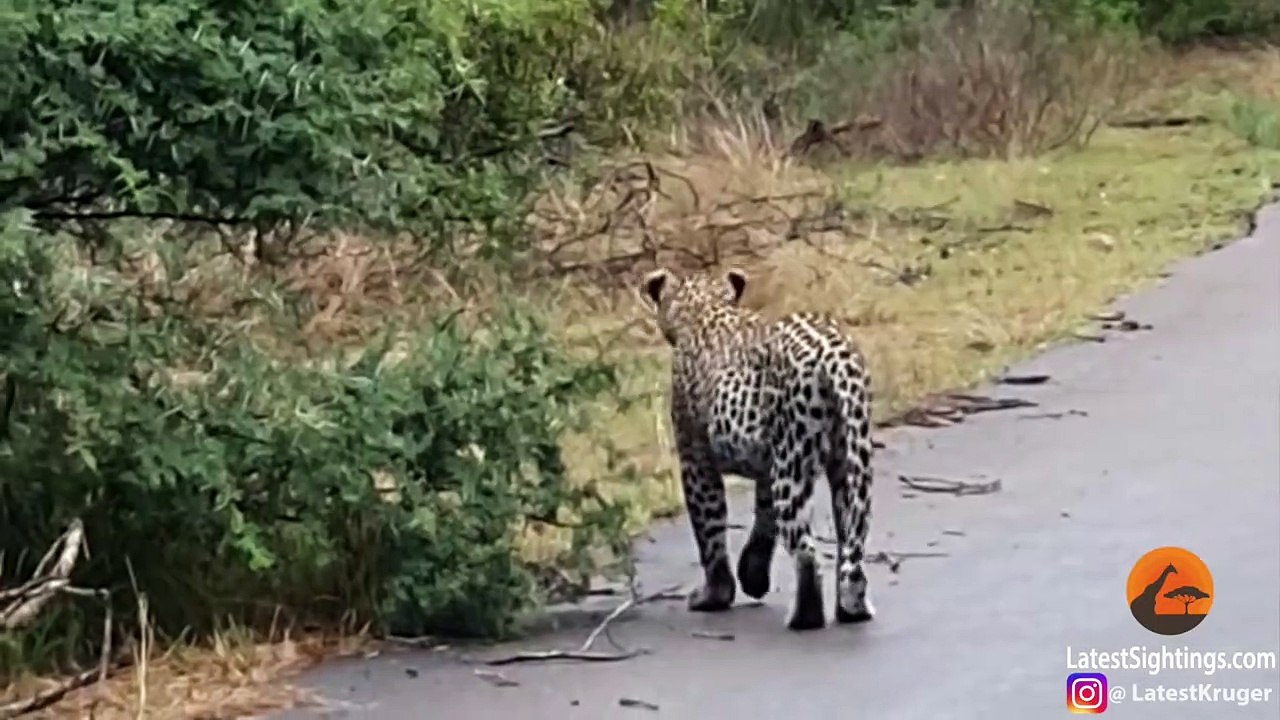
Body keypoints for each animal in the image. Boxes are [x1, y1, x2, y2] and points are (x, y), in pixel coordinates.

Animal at [639, 265, 876, 631]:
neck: (703, 308)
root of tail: (834, 352)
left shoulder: (696, 459)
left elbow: (709, 531)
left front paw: (714, 595)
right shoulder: (768, 462)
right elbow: (765, 519)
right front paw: (752, 575)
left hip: (794, 463)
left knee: (806, 550)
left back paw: (804, 618)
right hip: (849, 458)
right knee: (851, 540)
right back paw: (852, 608)